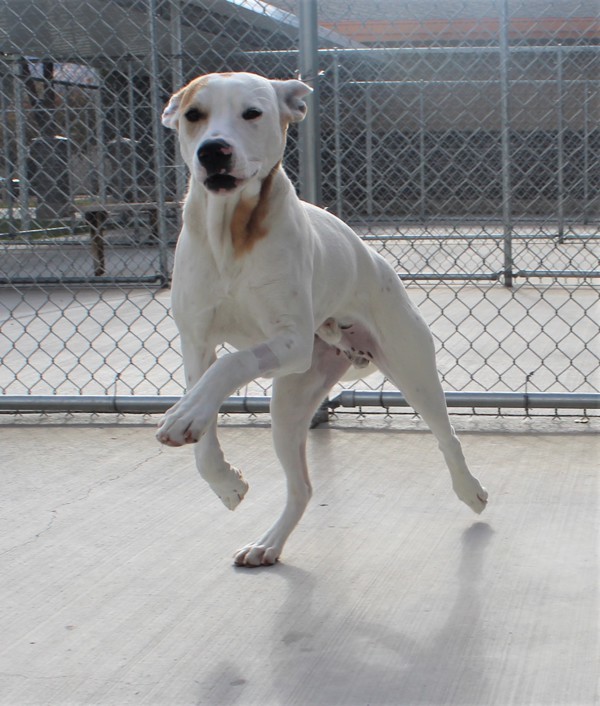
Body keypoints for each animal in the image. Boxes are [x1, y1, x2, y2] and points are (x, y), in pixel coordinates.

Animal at [156, 73, 488, 568]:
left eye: (252, 113)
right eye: (194, 114)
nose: (213, 151)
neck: (233, 232)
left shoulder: (291, 343)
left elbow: (232, 363)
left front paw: (189, 424)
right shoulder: (195, 342)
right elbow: (204, 417)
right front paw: (224, 479)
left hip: (413, 370)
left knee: (448, 438)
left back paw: (471, 492)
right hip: (289, 406)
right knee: (302, 489)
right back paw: (269, 543)